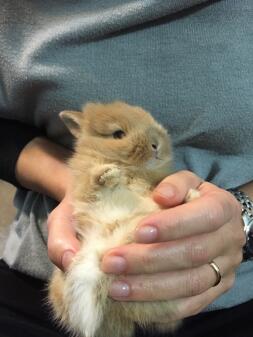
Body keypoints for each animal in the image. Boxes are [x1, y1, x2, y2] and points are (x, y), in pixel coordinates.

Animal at [48, 100, 186, 336]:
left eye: (151, 120)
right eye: (118, 134)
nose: (156, 144)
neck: (133, 172)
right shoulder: (85, 192)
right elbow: (93, 185)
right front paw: (108, 174)